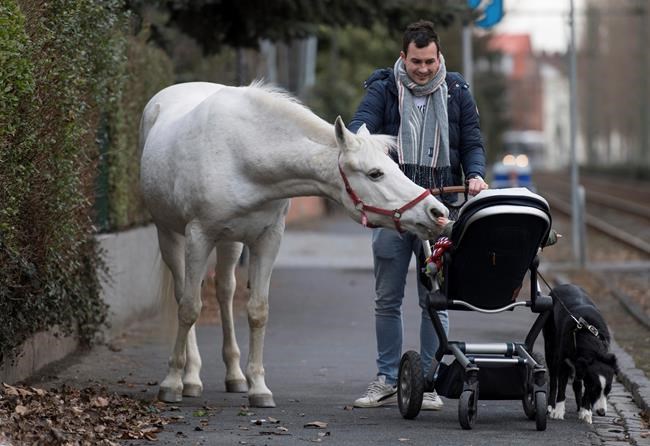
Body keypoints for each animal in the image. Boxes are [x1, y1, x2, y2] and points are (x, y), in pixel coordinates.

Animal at [139, 81, 448, 408]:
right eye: (375, 173)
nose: (437, 212)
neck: (242, 155)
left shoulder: (267, 239)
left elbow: (257, 311)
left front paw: (258, 388)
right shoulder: (198, 236)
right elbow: (189, 308)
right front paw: (171, 382)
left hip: (229, 243)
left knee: (224, 292)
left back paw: (234, 375)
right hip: (170, 234)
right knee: (183, 294)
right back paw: (190, 377)